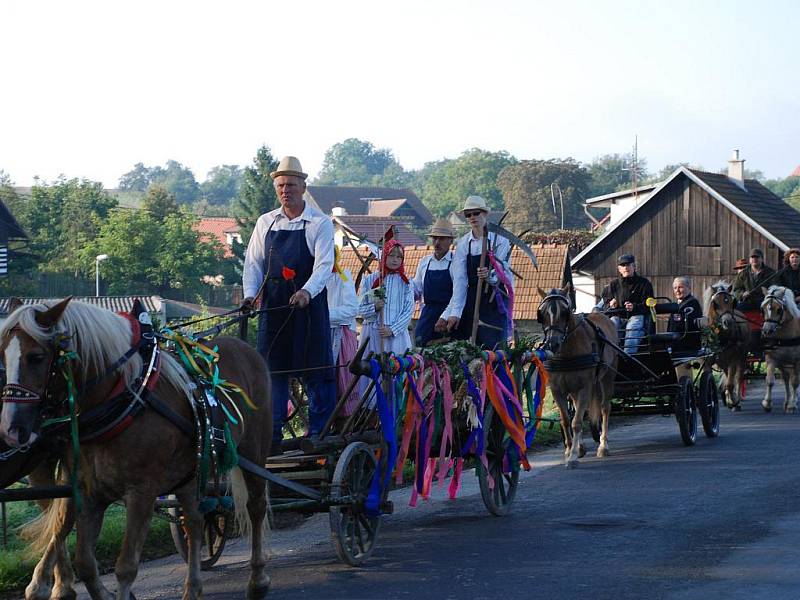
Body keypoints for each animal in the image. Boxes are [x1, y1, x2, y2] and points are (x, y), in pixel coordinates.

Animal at [0, 298, 274, 600]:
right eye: (3, 355)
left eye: (36, 357)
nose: (12, 429)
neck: (123, 399)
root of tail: (246, 348)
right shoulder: (89, 493)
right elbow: (85, 561)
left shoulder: (141, 493)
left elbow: (126, 567)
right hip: (193, 471)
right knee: (194, 521)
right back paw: (193, 587)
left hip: (254, 449)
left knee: (256, 506)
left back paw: (257, 579)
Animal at [536, 286, 620, 468]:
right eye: (542, 313)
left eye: (565, 312)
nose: (552, 343)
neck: (567, 353)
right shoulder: (557, 389)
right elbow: (566, 420)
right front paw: (570, 450)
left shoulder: (585, 387)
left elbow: (577, 422)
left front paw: (573, 456)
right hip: (574, 389)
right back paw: (581, 446)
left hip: (607, 377)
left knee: (605, 408)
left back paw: (603, 446)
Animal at [760, 284, 796, 412]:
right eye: (763, 309)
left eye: (779, 309)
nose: (767, 331)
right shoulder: (772, 358)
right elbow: (770, 381)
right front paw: (767, 403)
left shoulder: (797, 361)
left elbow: (795, 382)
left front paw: (792, 405)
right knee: (785, 379)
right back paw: (786, 401)